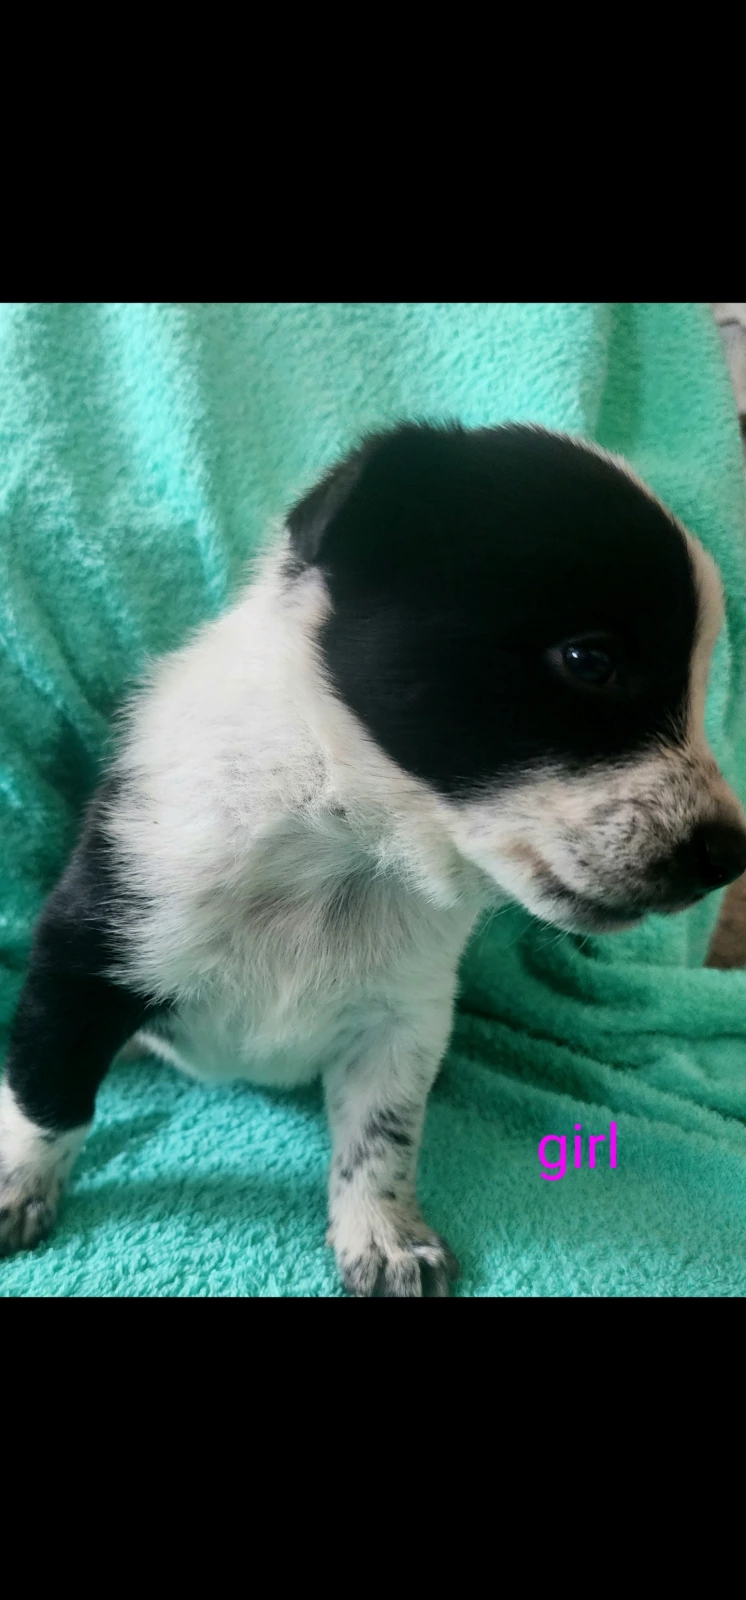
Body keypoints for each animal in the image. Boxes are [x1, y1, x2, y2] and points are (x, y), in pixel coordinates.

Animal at [2, 421, 746, 1295]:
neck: (343, 846)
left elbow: (382, 1136)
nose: (730, 854)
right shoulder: (87, 953)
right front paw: (17, 1185)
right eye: (589, 661)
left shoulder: (404, 1020)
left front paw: (386, 1235)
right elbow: (48, 1094)